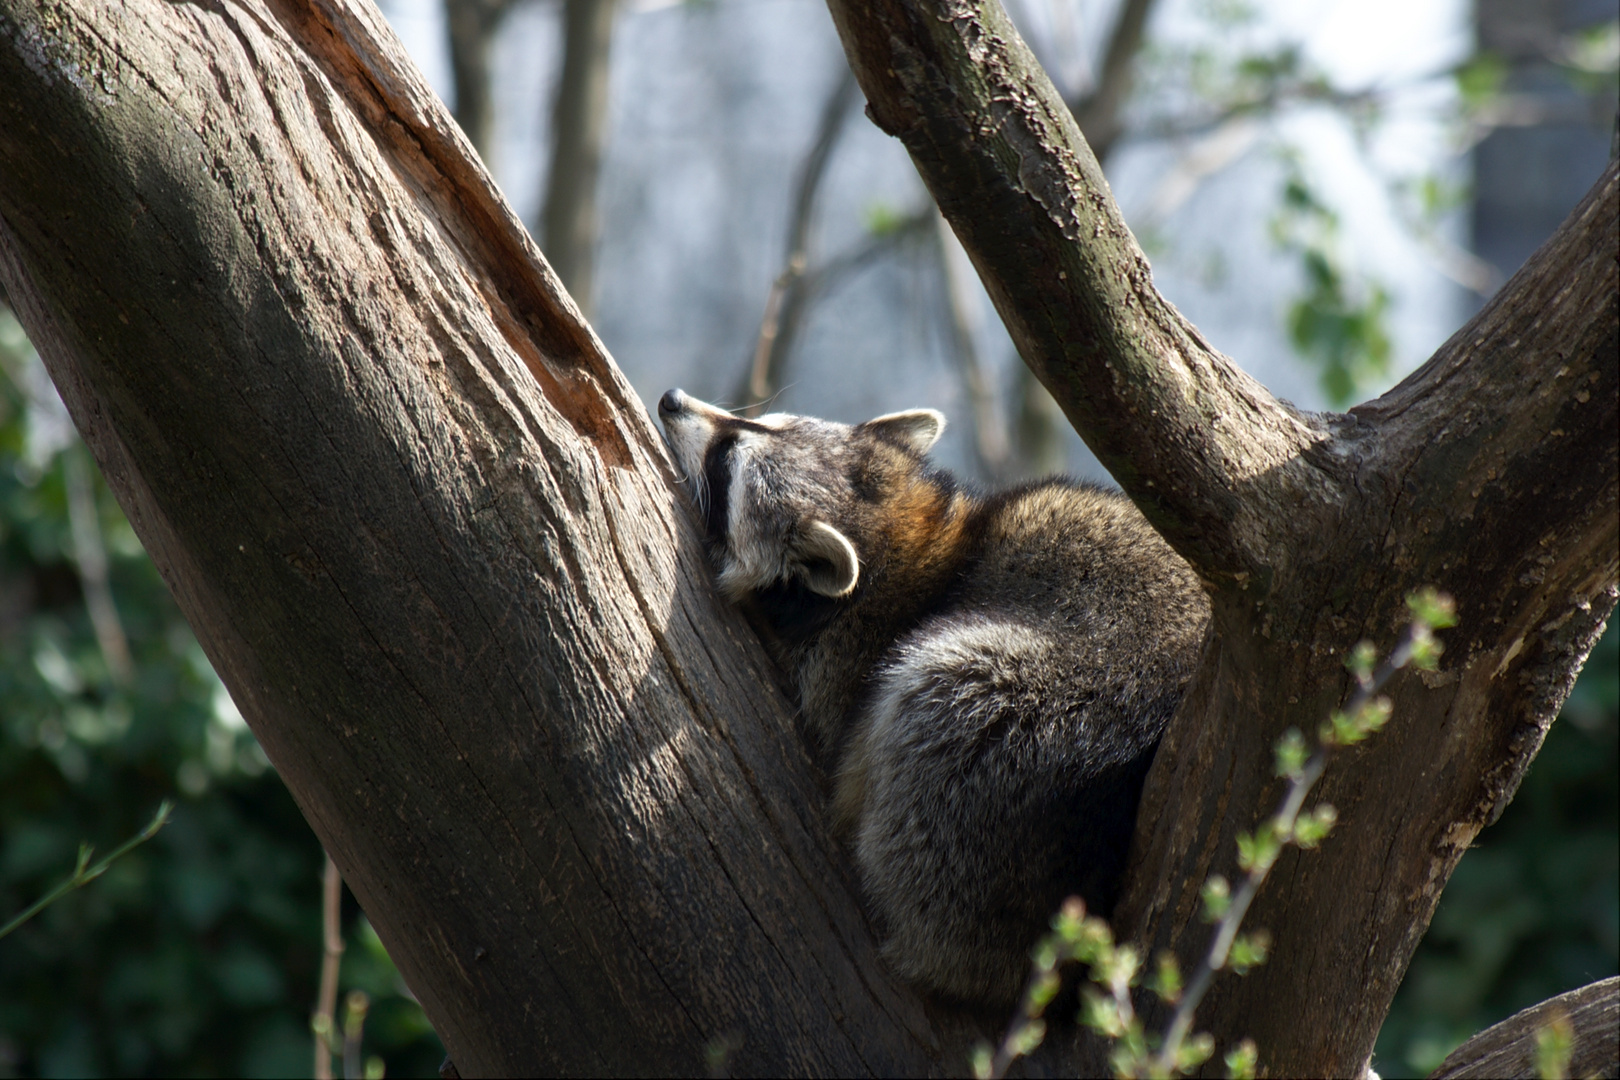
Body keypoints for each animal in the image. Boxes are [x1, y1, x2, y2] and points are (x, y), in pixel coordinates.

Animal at [654, 386, 1205, 1003]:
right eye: (756, 424)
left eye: (727, 461)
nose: (671, 400)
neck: (904, 539)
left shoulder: (847, 659)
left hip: (1030, 727)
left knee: (937, 691)